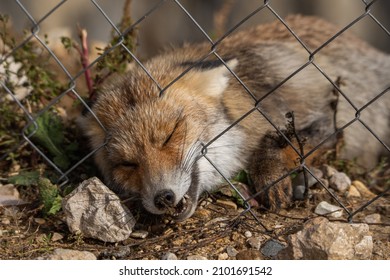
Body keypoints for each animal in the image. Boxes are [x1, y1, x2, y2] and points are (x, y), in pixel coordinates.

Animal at [80, 15, 390, 221]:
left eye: (171, 134)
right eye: (127, 164)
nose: (163, 198)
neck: (247, 95)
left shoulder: (329, 116)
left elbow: (284, 142)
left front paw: (270, 173)